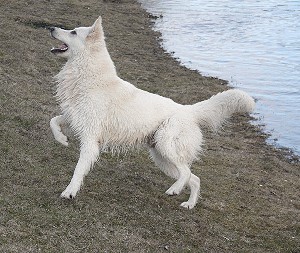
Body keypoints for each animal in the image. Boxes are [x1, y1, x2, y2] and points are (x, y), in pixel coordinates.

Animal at [48, 16, 254, 210]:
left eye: (73, 32)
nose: (51, 28)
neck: (89, 77)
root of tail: (189, 111)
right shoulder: (73, 119)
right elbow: (53, 121)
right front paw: (62, 139)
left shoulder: (90, 140)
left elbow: (78, 169)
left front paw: (70, 192)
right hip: (162, 158)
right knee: (194, 179)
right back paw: (189, 204)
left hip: (165, 144)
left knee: (187, 173)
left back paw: (174, 189)